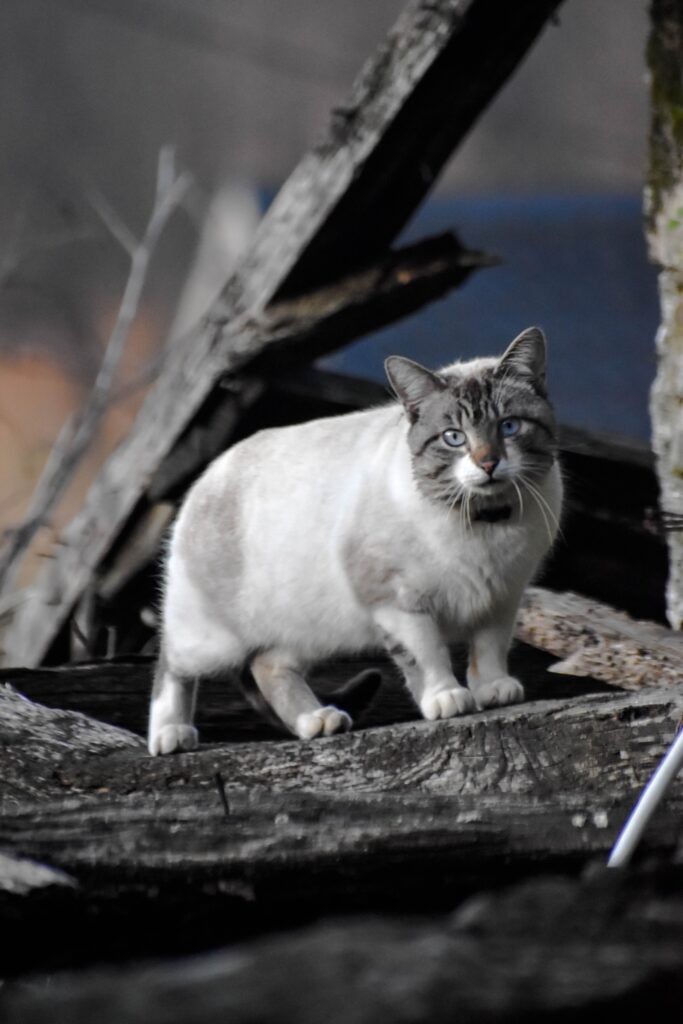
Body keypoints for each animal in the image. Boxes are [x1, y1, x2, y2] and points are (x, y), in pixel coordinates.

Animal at [148, 327, 561, 753]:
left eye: (509, 426)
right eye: (453, 438)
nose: (488, 462)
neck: (482, 520)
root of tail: (211, 469)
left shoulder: (503, 596)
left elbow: (489, 648)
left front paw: (492, 689)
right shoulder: (398, 601)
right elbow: (428, 654)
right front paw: (446, 697)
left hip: (311, 627)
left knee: (268, 664)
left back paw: (317, 720)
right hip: (211, 640)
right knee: (170, 661)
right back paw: (170, 734)